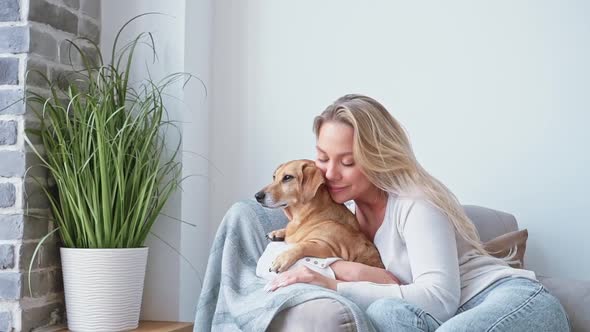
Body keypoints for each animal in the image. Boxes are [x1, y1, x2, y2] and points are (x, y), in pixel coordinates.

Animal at [256, 158, 386, 272]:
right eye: (274, 177)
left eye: (288, 177)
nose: (257, 196)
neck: (310, 213)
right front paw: (277, 233)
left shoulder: (325, 247)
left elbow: (303, 245)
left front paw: (283, 258)